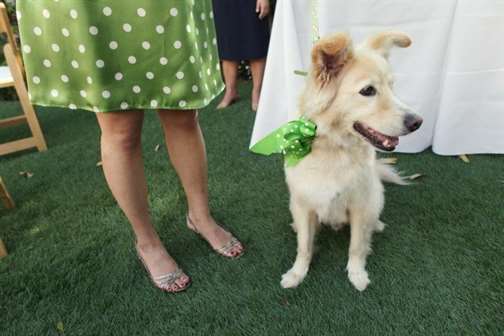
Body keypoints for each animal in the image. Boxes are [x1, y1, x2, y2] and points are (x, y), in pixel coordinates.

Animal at [282, 31, 424, 290]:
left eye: (392, 86)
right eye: (368, 90)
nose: (417, 122)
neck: (334, 150)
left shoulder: (360, 205)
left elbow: (356, 246)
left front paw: (357, 275)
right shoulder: (303, 203)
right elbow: (304, 246)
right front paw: (297, 273)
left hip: (376, 196)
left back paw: (376, 225)